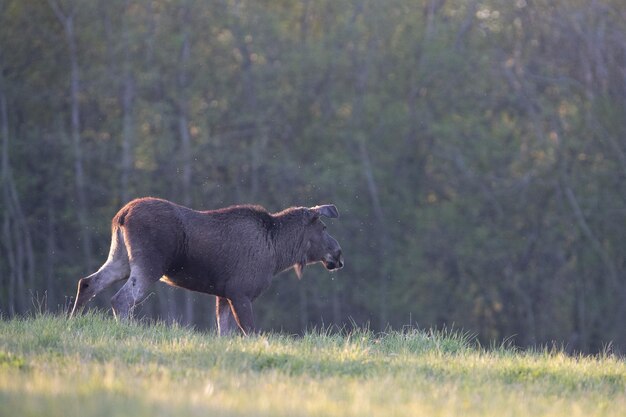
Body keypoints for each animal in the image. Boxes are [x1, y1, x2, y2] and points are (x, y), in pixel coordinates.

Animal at [70, 197, 344, 334]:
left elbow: (224, 332)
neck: (278, 253)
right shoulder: (241, 292)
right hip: (150, 264)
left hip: (121, 258)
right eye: (323, 227)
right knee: (121, 298)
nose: (339, 254)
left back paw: (72, 320)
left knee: (88, 282)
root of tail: (122, 215)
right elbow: (251, 331)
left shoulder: (223, 295)